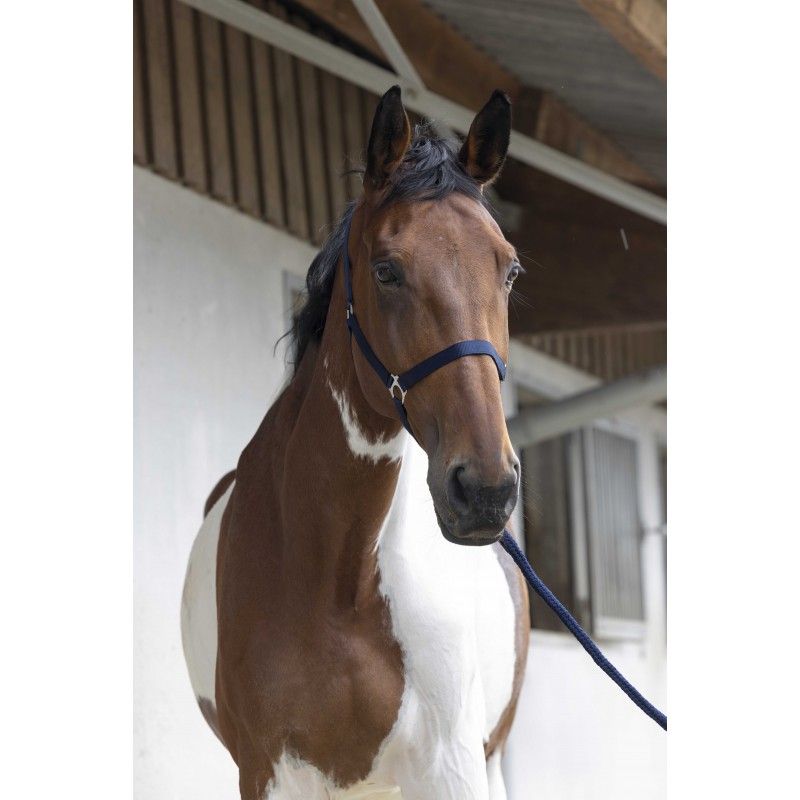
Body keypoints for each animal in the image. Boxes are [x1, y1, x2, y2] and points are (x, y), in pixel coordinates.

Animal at [181, 86, 530, 800]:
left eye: (509, 271)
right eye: (386, 270)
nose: (484, 490)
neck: (338, 576)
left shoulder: (451, 763)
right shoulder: (269, 772)